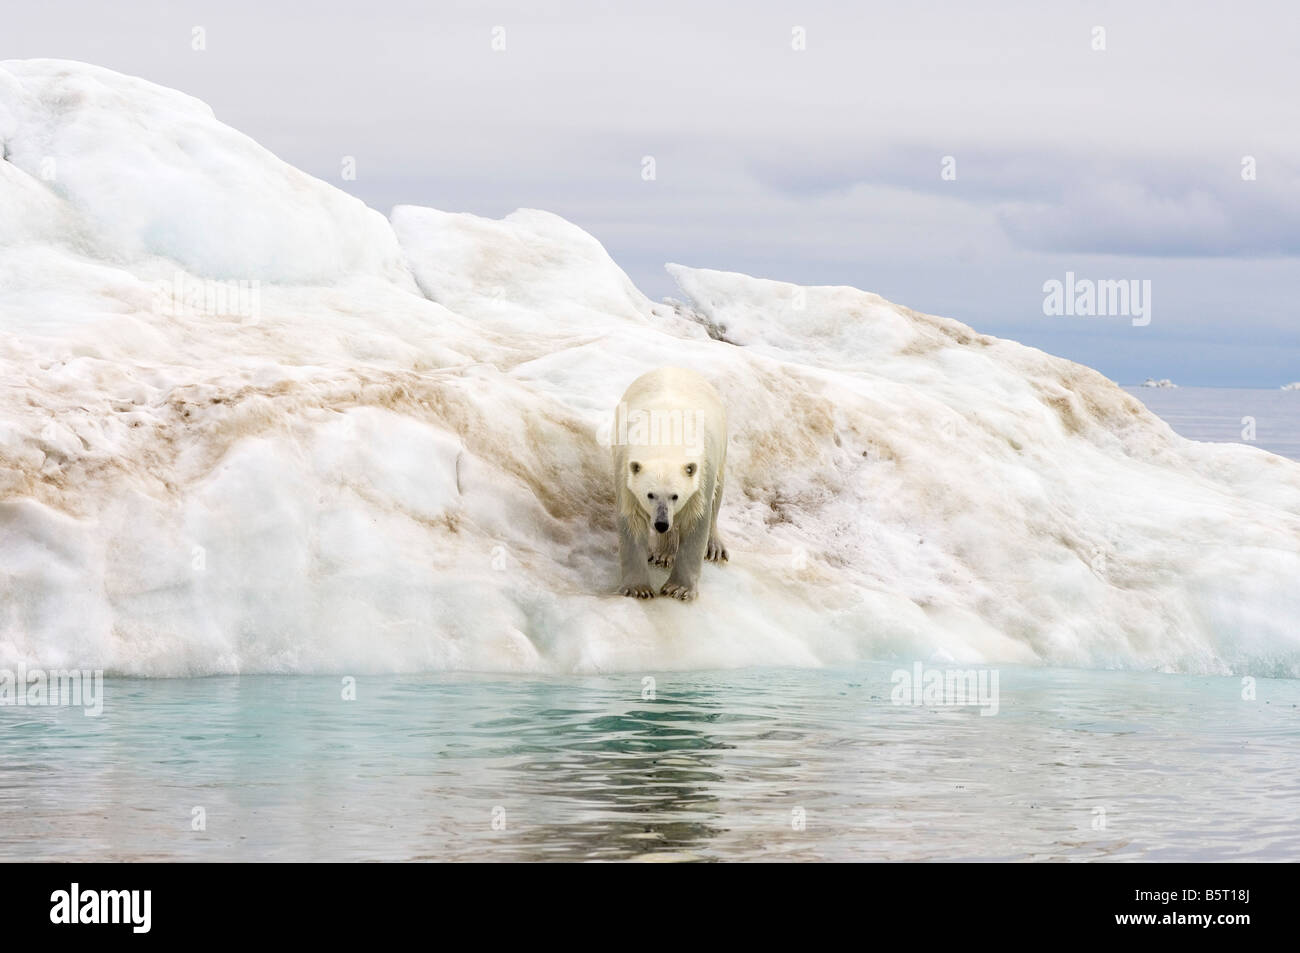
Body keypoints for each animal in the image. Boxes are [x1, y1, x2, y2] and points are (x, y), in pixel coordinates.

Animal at [611, 366, 728, 601]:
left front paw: (679, 589)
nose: (661, 524)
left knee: (717, 497)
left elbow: (696, 520)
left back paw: (714, 547)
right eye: (649, 494)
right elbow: (631, 521)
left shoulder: (702, 472)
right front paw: (638, 588)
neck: (665, 437)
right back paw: (663, 553)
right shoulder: (625, 471)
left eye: (675, 495)